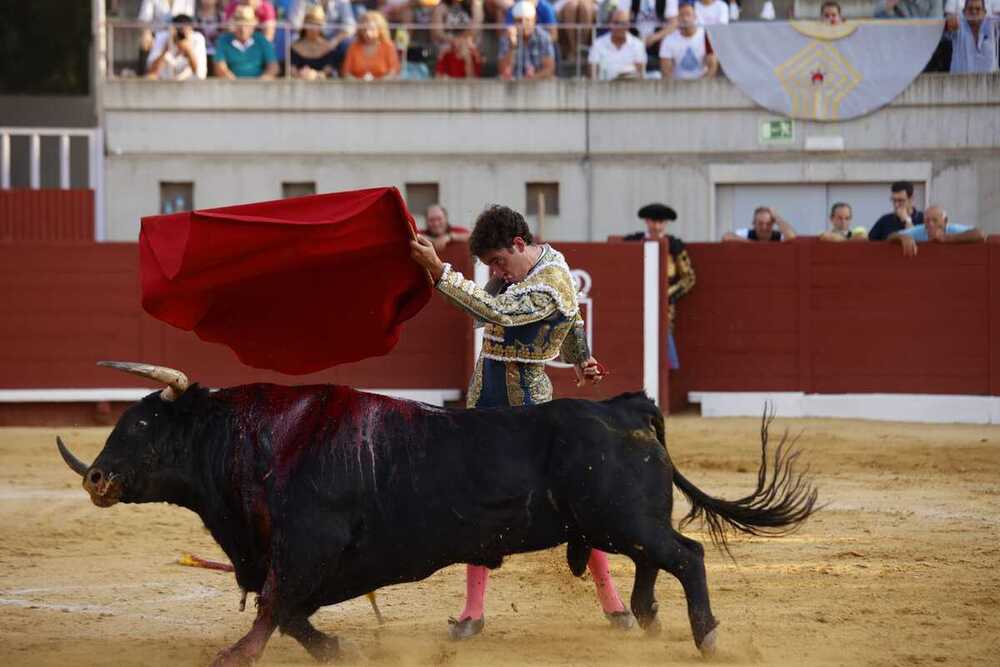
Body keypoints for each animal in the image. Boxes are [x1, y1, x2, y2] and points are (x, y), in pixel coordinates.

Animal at [58, 362, 816, 664]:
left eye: (144, 426)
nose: (95, 476)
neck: (258, 440)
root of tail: (624, 406)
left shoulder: (308, 546)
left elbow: (277, 606)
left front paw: (243, 654)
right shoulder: (302, 558)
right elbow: (290, 611)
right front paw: (335, 647)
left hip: (623, 518)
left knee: (685, 555)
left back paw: (706, 637)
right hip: (615, 522)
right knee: (654, 562)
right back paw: (647, 621)